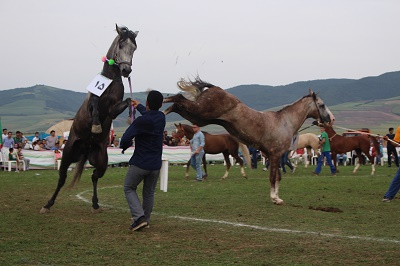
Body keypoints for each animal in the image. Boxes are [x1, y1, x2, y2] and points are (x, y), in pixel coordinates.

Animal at [163, 78, 334, 205]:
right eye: (322, 105)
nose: (331, 119)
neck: (285, 122)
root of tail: (215, 88)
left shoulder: (274, 156)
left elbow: (278, 177)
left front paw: (277, 197)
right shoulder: (275, 154)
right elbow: (273, 177)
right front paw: (275, 198)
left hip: (198, 117)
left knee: (177, 103)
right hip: (200, 112)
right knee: (178, 98)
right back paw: (161, 104)